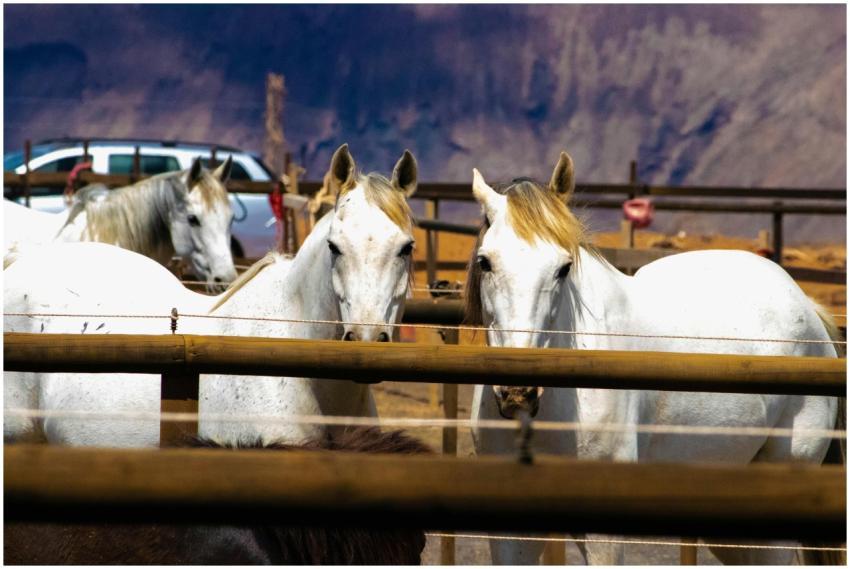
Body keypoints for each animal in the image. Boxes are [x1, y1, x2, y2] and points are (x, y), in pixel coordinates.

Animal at [464, 152, 841, 565]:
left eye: (563, 268)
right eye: (485, 262)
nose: (518, 393)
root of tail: (806, 305)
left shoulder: (602, 534)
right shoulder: (509, 532)